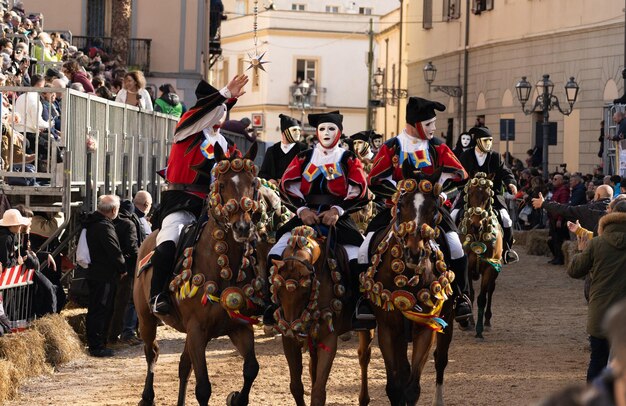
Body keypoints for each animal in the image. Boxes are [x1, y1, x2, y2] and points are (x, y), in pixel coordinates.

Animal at [134, 143, 264, 406]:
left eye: (254, 183)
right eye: (221, 185)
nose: (242, 227)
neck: (223, 266)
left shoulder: (239, 327)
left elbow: (251, 368)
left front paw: (236, 397)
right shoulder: (197, 331)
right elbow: (203, 388)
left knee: (184, 365)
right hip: (146, 318)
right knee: (152, 352)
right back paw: (147, 397)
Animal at [266, 225, 370, 406]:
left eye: (305, 290)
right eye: (277, 290)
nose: (292, 330)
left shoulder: (328, 338)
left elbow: (318, 393)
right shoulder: (289, 341)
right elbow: (296, 387)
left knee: (363, 357)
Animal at [360, 165, 454, 406]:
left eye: (434, 208)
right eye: (401, 205)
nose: (414, 252)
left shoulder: (427, 327)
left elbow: (412, 389)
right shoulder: (388, 328)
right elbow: (395, 386)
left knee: (440, 360)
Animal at [454, 172, 502, 340]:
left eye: (488, 196)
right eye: (470, 193)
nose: (476, 225)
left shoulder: (490, 268)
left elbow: (482, 297)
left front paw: (479, 329)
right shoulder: (467, 267)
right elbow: (471, 294)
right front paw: (469, 322)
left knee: (490, 291)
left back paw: (487, 321)